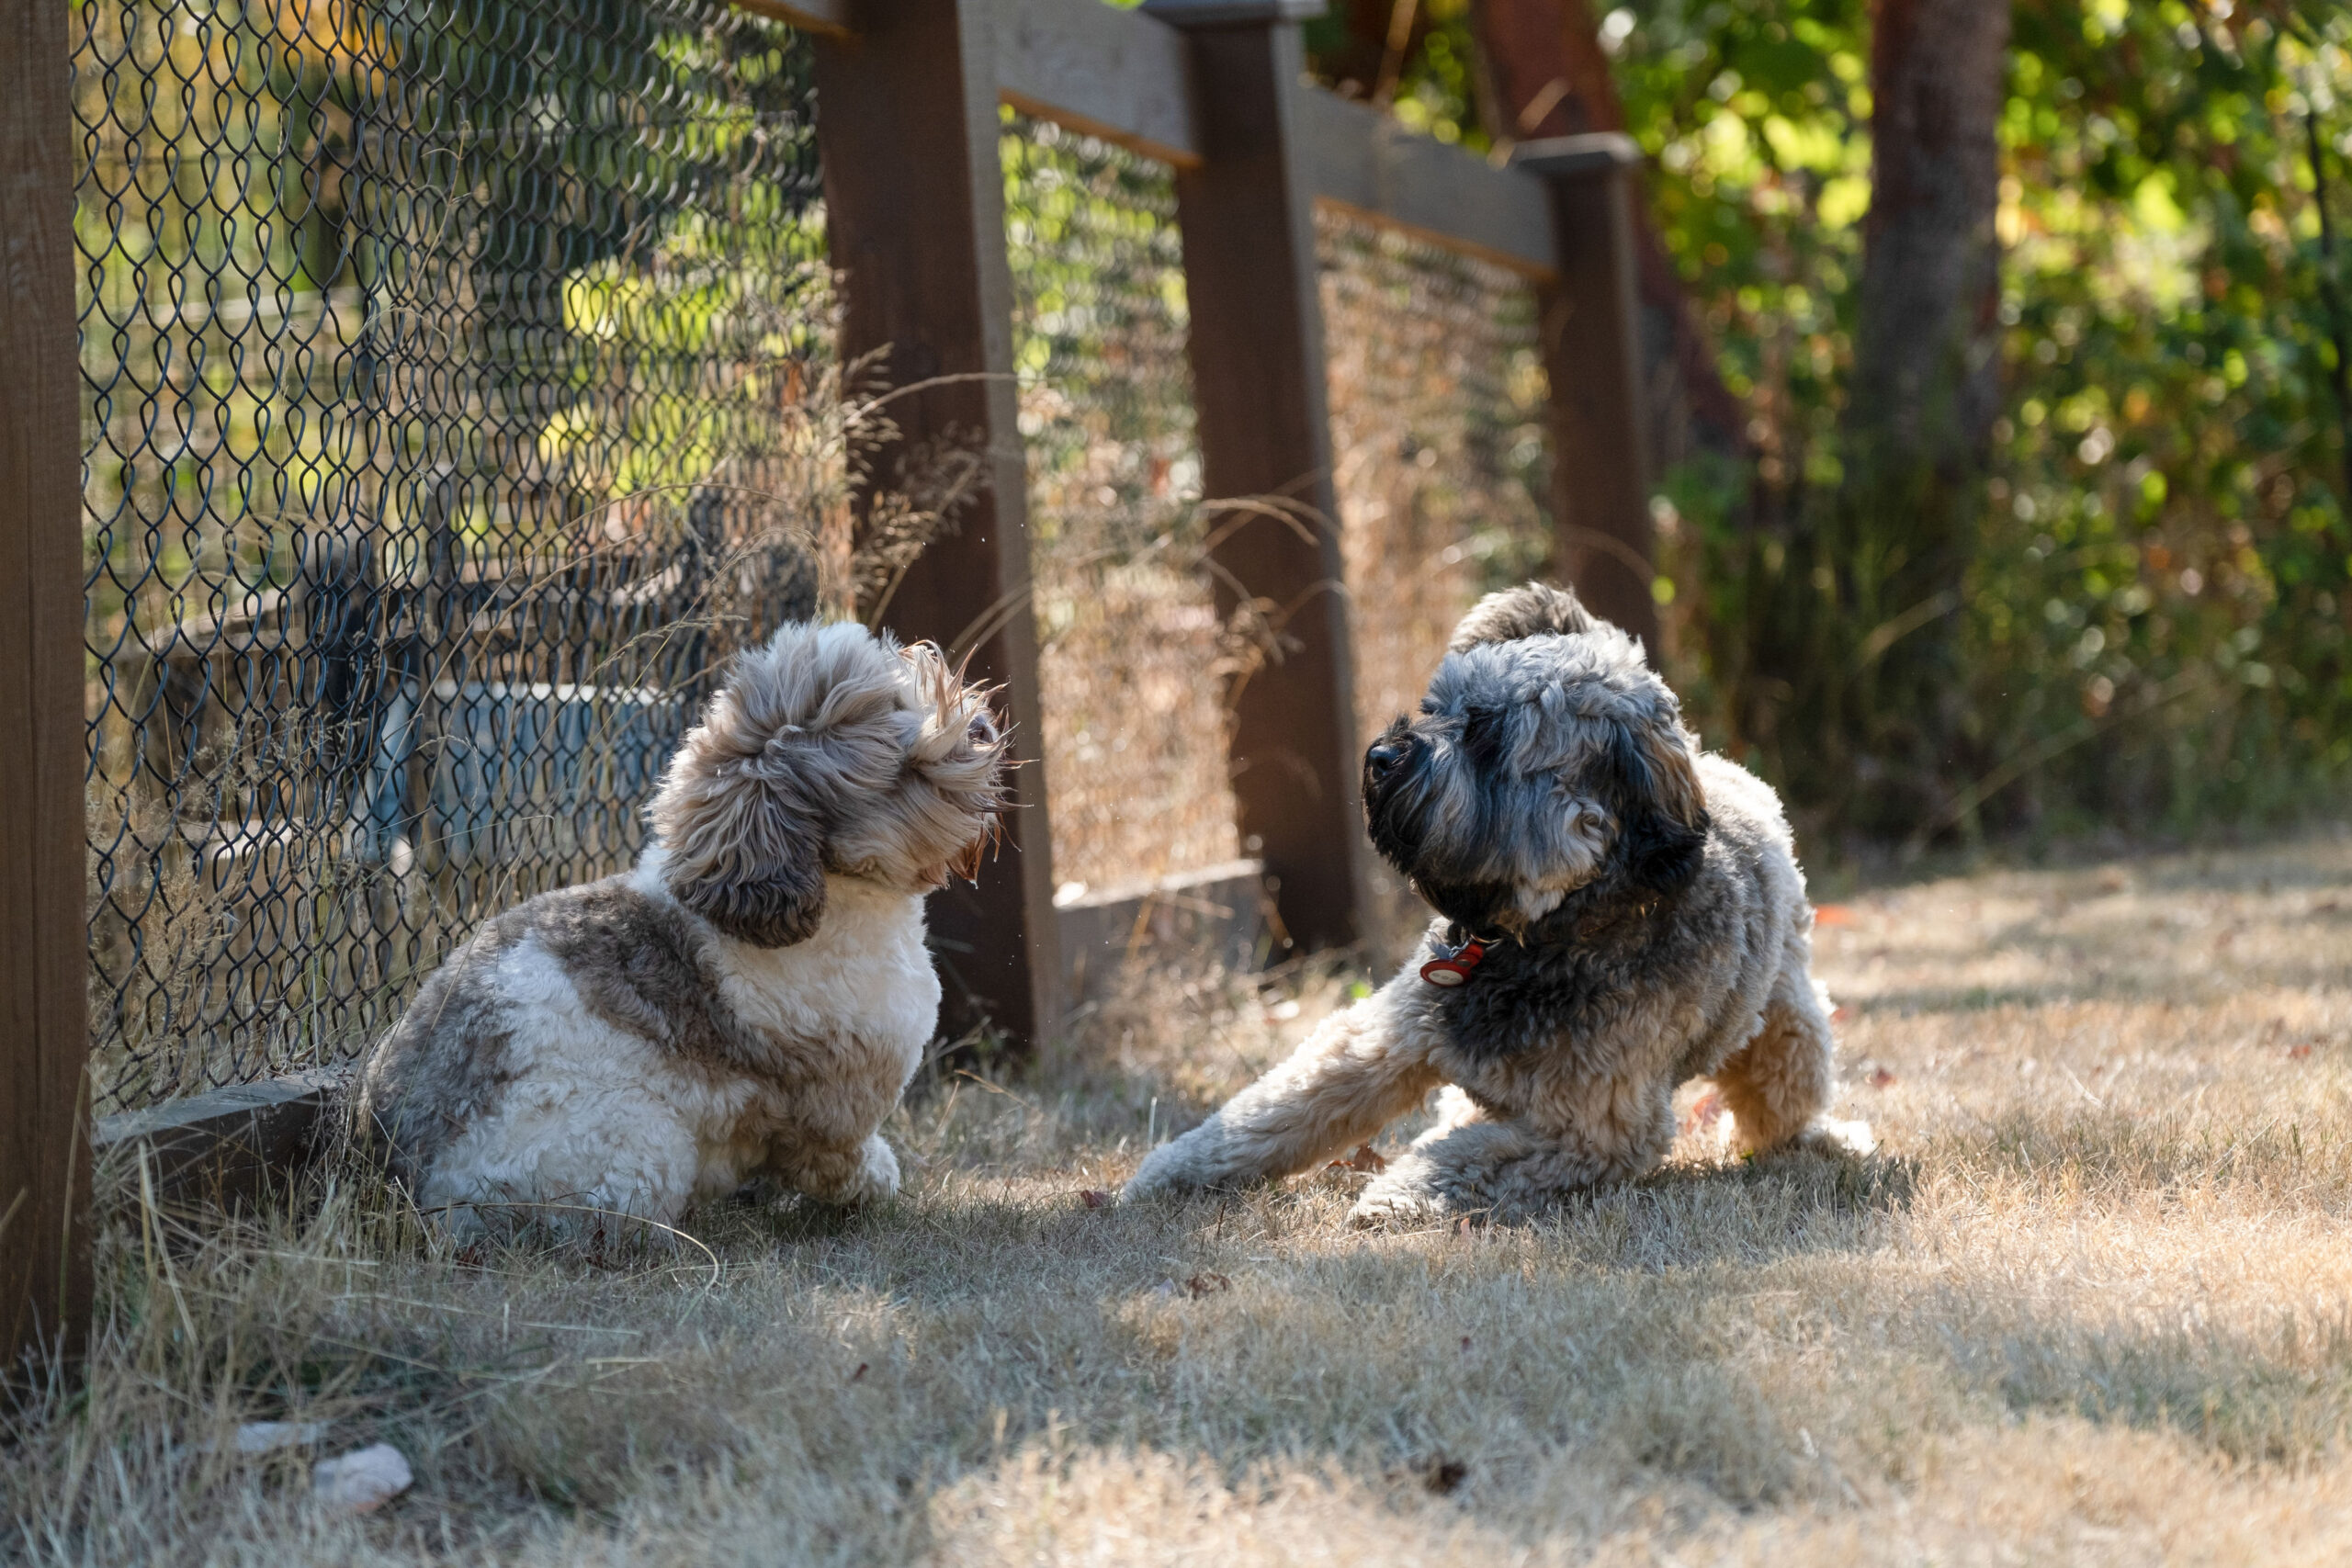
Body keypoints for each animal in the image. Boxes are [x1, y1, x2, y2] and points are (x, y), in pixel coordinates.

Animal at [362, 620, 1006, 1241]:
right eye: (907, 766)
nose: (981, 726)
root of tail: (410, 1183)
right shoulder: (836, 1110)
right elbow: (844, 1162)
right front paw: (875, 1183)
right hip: (640, 1149)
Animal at [1124, 581, 1871, 1222]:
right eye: (1437, 708)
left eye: (1486, 735)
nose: (1381, 756)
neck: (1534, 938)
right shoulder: (1383, 1040)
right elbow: (1273, 1112)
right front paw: (1169, 1173)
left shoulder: (1595, 1129)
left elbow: (1466, 1156)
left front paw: (1396, 1193)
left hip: (1786, 1029)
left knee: (1783, 1102)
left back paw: (1825, 1138)